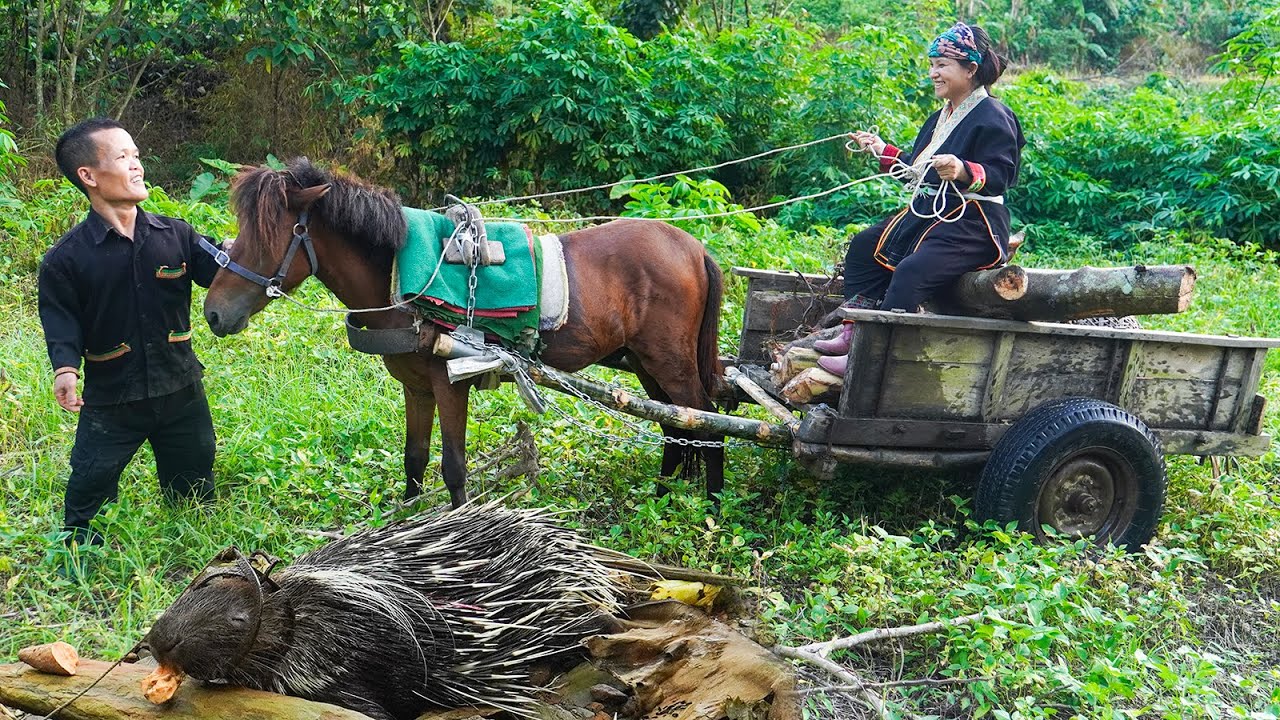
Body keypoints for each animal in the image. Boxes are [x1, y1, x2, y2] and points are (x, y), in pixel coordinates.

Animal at [202, 158, 725, 508]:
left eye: (268, 236)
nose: (212, 313)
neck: (399, 278)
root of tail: (694, 248)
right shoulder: (416, 386)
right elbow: (414, 459)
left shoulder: (450, 384)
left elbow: (453, 468)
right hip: (645, 361)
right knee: (677, 425)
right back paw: (662, 494)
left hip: (670, 363)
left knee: (708, 421)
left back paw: (714, 506)